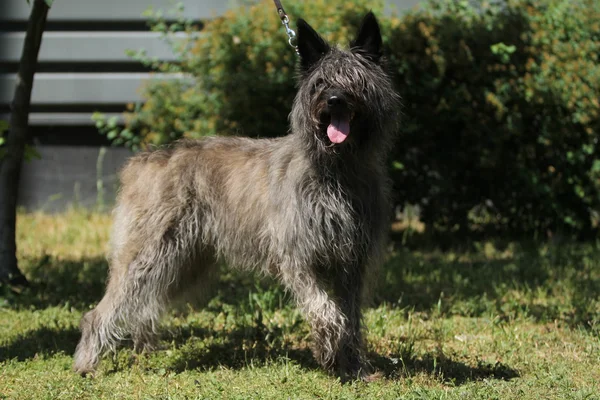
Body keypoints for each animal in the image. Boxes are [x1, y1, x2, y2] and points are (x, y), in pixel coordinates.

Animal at [76, 11, 404, 382]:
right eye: (320, 82)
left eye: (355, 79)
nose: (335, 100)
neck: (336, 170)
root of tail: (145, 159)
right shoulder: (300, 259)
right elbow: (326, 311)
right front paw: (329, 352)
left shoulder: (352, 265)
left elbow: (350, 317)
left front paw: (353, 365)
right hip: (147, 254)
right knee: (103, 309)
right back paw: (87, 361)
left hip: (184, 262)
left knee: (145, 304)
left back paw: (142, 348)